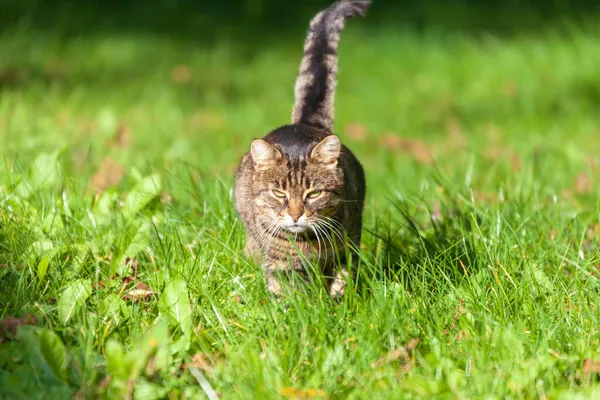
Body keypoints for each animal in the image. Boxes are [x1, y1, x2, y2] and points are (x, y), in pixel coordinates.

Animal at [236, 0, 370, 296]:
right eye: (279, 193)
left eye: (314, 193)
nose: (296, 215)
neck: (307, 242)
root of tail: (303, 122)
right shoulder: (279, 263)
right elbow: (287, 293)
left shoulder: (346, 249)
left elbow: (342, 278)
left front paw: (338, 298)